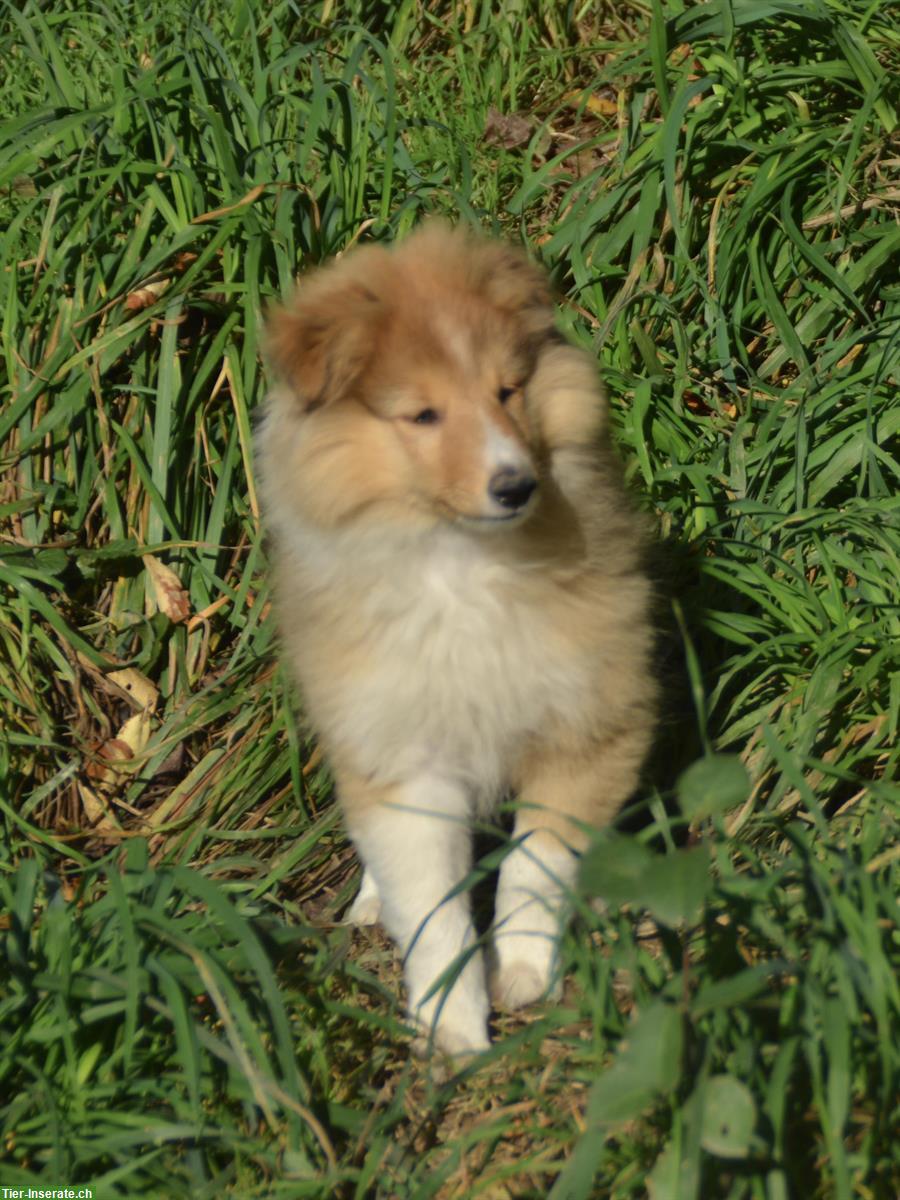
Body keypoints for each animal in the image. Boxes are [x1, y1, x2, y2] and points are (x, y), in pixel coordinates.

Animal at [256, 220, 657, 1056]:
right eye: (423, 416)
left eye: (507, 392)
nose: (515, 486)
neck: (464, 564)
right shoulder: (404, 756)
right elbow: (431, 903)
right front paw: (454, 1028)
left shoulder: (589, 723)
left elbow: (536, 864)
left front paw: (523, 973)